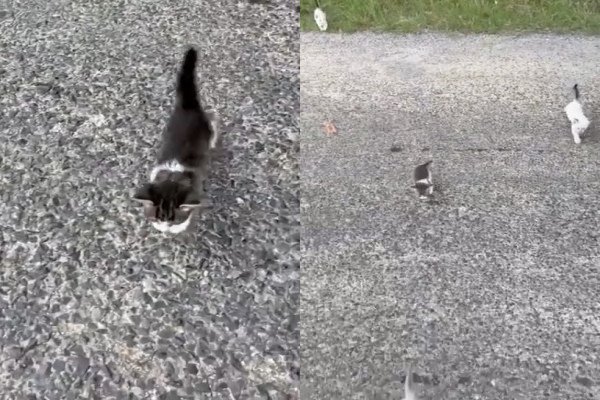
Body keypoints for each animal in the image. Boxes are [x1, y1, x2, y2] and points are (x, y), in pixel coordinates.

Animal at [134, 47, 218, 234]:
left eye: (174, 221)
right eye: (155, 219)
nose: (165, 230)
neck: (172, 177)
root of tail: (187, 106)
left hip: (205, 127)